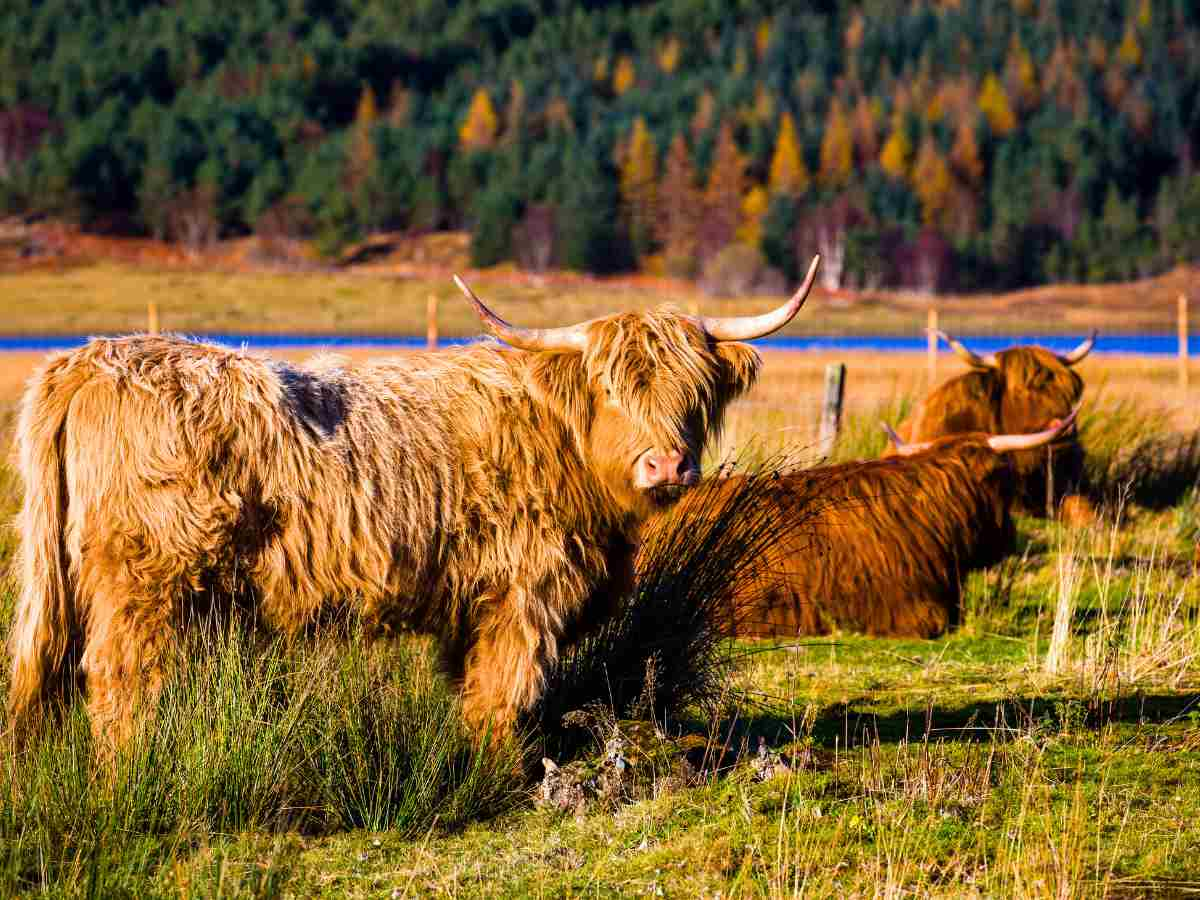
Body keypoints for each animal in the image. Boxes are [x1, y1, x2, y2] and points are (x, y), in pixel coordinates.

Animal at [9, 255, 820, 748]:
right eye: (611, 388)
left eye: (695, 391)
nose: (667, 463)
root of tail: (88, 358)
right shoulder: (523, 592)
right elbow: (504, 692)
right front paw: (500, 774)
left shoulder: (471, 605)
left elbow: (470, 687)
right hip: (143, 581)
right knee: (119, 681)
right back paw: (131, 772)